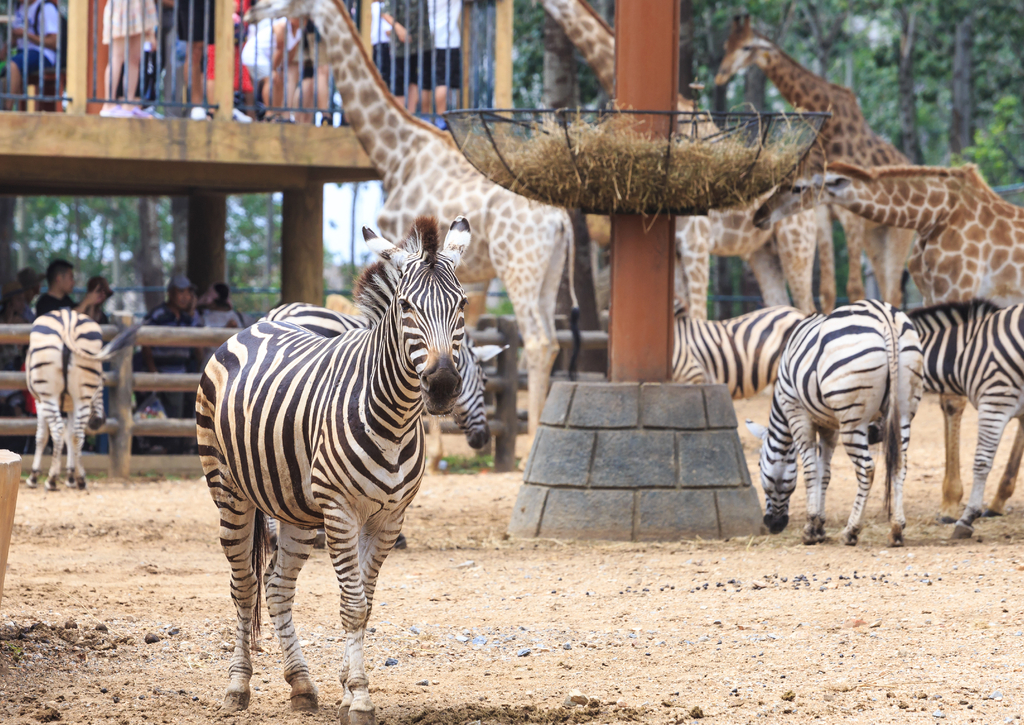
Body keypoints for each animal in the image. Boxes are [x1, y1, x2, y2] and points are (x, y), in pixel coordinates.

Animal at [26, 310, 138, 490]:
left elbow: (42, 436)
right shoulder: (70, 404)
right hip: (82, 394)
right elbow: (69, 435)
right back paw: (80, 479)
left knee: (57, 430)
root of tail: (67, 319)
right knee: (77, 434)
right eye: (102, 381)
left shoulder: (40, 402)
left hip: (49, 394)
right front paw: (72, 476)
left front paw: (33, 477)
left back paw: (51, 479)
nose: (99, 422)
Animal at [196, 216, 470, 721]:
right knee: (244, 586)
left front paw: (345, 686)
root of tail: (256, 324)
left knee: (277, 587)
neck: (395, 418)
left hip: (296, 506)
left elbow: (365, 602)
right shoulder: (341, 511)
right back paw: (238, 687)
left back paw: (301, 685)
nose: (442, 384)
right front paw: (359, 696)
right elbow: (352, 605)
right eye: (406, 306)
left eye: (460, 304)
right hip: (229, 490)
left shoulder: (389, 517)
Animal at [745, 300, 924, 547]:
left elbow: (810, 471)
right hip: (904, 411)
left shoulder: (797, 413)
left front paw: (810, 529)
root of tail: (884, 315)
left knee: (867, 469)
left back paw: (851, 531)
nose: (774, 525)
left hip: (853, 419)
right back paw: (896, 530)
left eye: (759, 466)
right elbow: (825, 473)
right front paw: (820, 526)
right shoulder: (830, 426)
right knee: (900, 464)